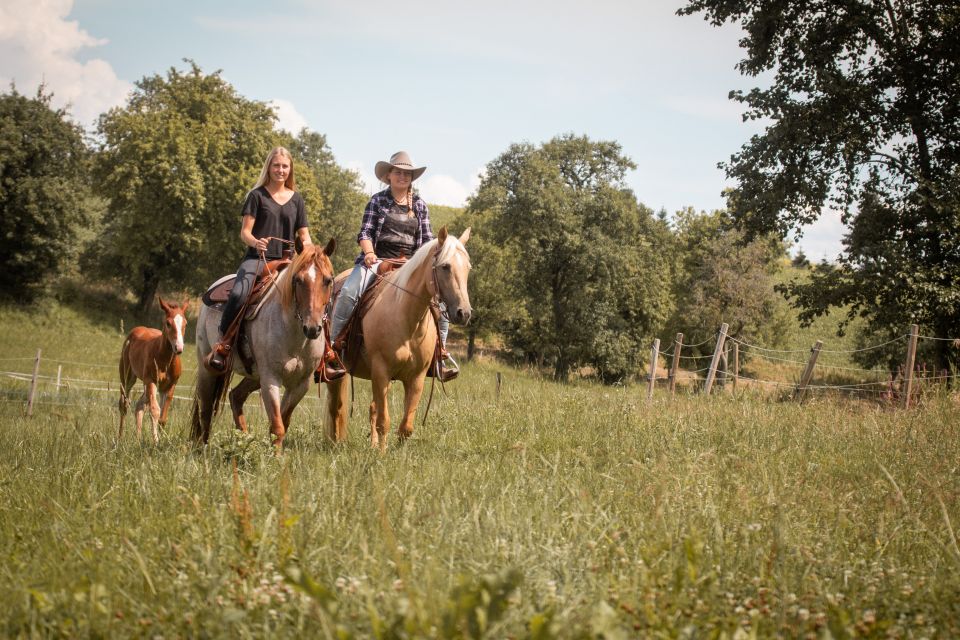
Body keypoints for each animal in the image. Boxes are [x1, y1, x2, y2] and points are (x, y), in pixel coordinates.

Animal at [118, 294, 189, 440]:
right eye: (168, 323)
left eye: (185, 324)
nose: (178, 347)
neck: (165, 361)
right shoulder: (151, 381)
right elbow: (155, 411)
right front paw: (155, 441)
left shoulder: (170, 385)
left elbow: (163, 417)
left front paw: (160, 440)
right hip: (128, 377)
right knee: (124, 404)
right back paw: (119, 438)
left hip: (146, 383)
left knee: (139, 405)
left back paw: (137, 439)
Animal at [191, 240, 338, 450]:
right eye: (298, 280)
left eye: (328, 280)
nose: (312, 328)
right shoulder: (271, 379)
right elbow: (277, 426)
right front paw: (275, 456)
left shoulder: (301, 384)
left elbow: (283, 421)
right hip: (208, 369)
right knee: (205, 409)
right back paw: (202, 448)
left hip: (254, 375)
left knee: (235, 396)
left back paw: (244, 441)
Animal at [324, 225, 470, 450]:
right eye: (445, 267)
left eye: (468, 268)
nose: (464, 312)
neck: (407, 319)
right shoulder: (381, 371)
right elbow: (384, 421)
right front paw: (382, 454)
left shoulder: (416, 377)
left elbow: (406, 426)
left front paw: (396, 452)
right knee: (336, 406)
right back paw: (335, 442)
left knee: (371, 407)